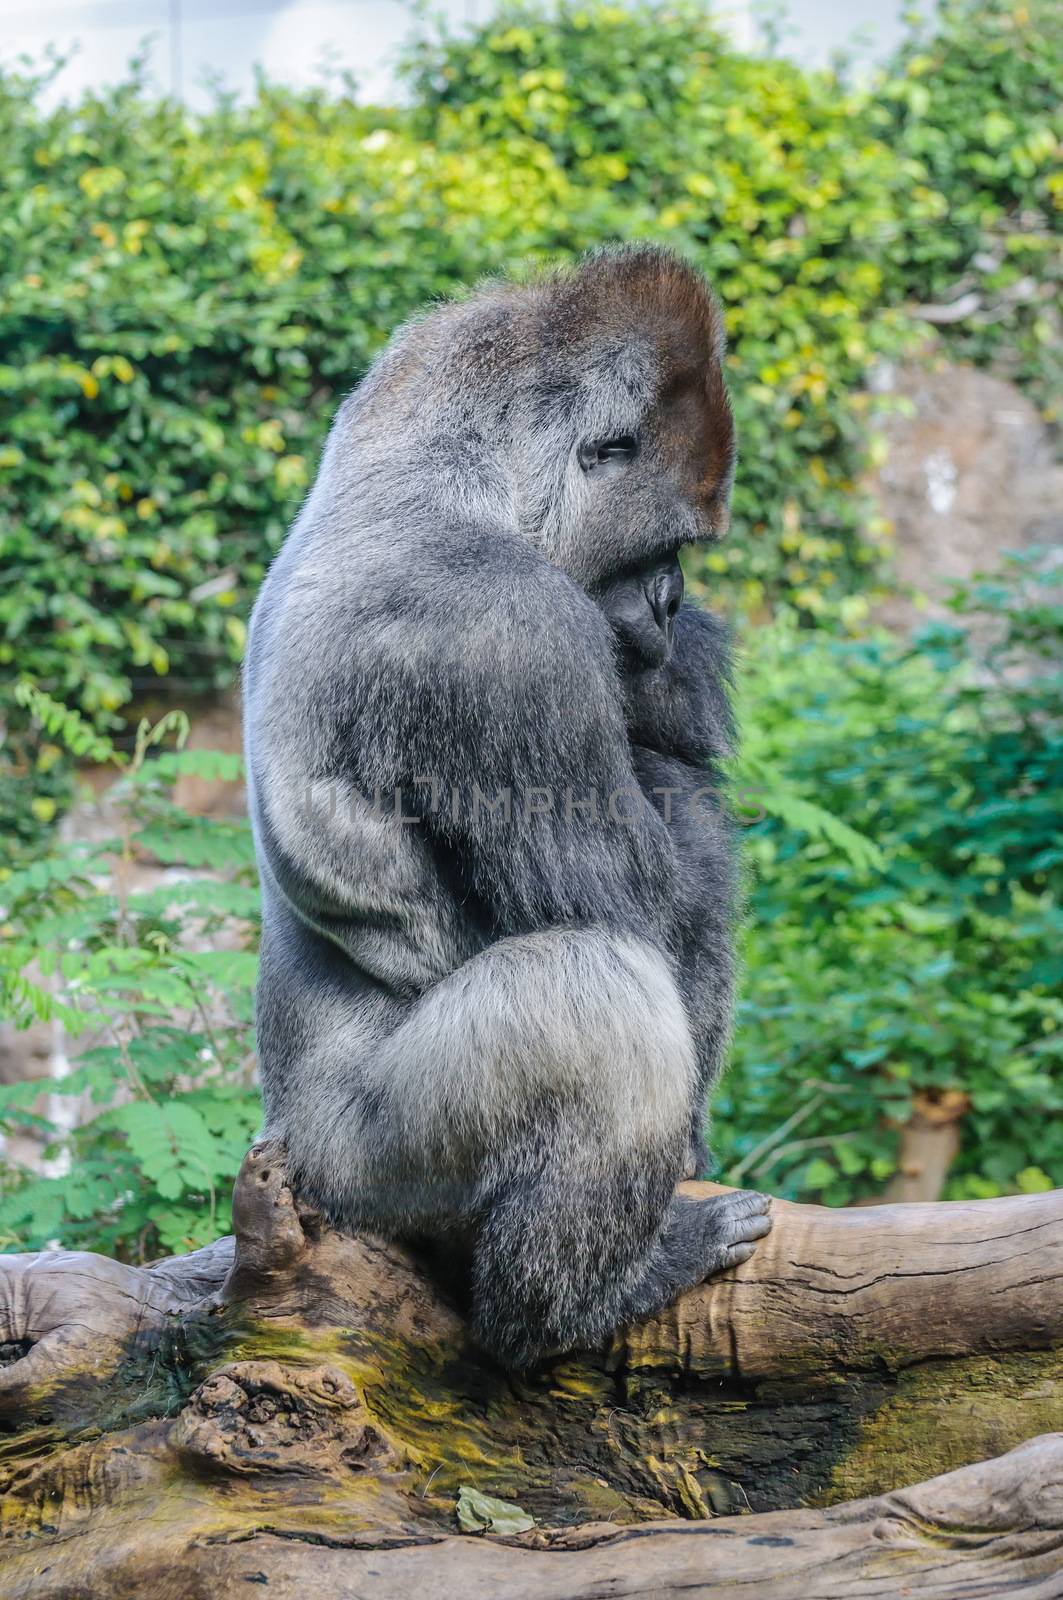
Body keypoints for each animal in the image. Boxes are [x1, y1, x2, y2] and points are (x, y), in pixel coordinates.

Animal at [243, 246, 768, 1363]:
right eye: (662, 546)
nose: (668, 602)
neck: (450, 476)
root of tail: (285, 1144)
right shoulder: (504, 625)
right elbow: (641, 905)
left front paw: (679, 671)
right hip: (356, 1174)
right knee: (599, 997)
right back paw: (579, 1308)